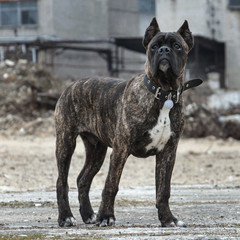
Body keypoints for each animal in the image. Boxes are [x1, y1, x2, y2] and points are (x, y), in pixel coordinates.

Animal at [54, 17, 199, 228]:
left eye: (177, 46)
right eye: (154, 46)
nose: (164, 50)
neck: (163, 92)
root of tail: (71, 86)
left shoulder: (168, 152)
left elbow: (163, 190)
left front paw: (168, 219)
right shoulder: (121, 149)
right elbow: (111, 184)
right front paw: (106, 216)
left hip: (97, 150)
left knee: (83, 179)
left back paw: (88, 214)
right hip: (66, 143)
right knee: (61, 181)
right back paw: (66, 217)